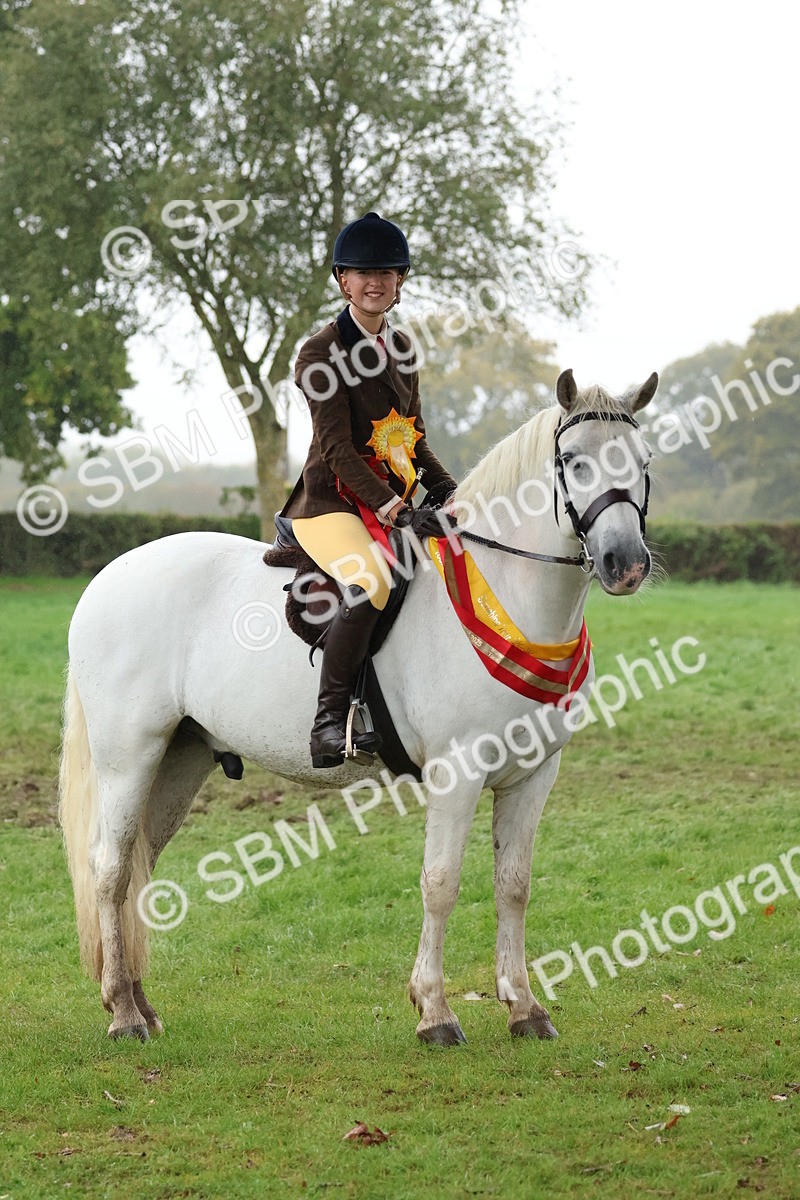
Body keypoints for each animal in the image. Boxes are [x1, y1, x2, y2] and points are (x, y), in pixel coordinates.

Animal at [59, 367, 657, 1045]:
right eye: (574, 460)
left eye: (643, 461)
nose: (625, 564)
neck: (505, 594)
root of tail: (109, 577)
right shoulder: (457, 775)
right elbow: (441, 884)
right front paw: (435, 1012)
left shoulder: (533, 775)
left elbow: (514, 885)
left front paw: (525, 1008)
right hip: (128, 756)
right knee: (110, 869)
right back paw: (123, 1013)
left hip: (179, 758)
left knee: (139, 867)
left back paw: (139, 1002)